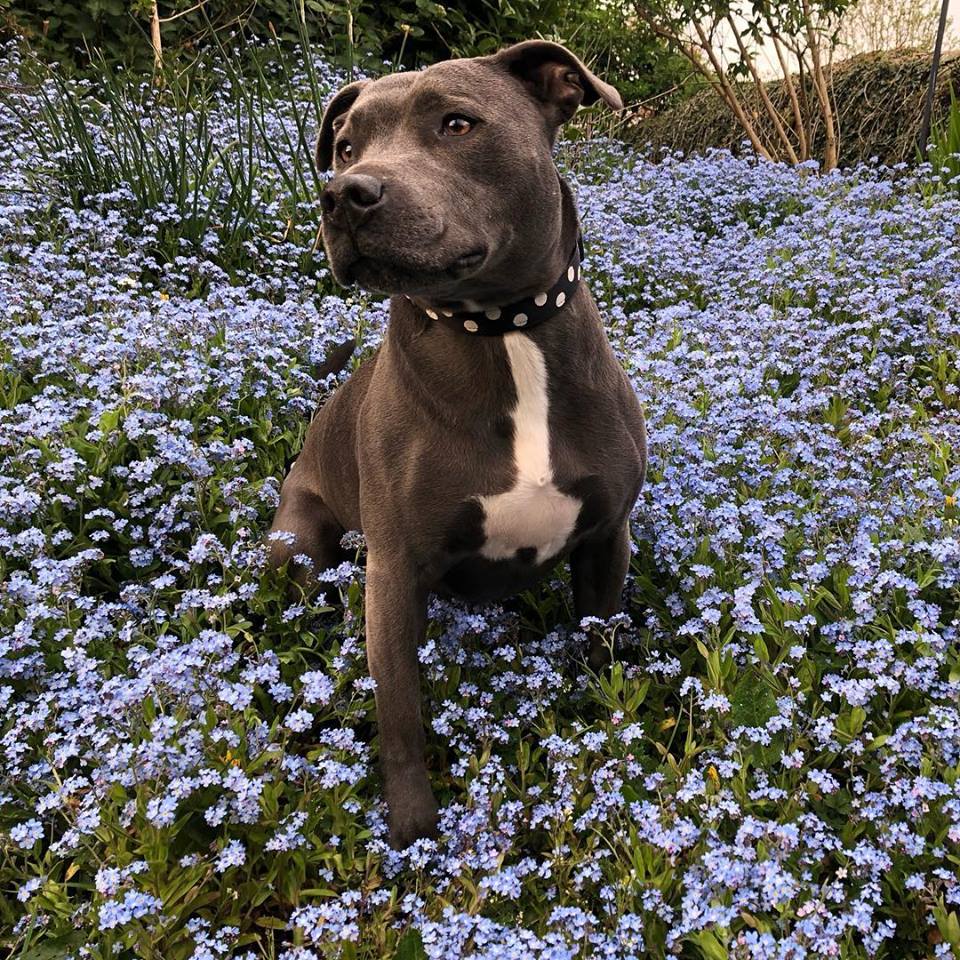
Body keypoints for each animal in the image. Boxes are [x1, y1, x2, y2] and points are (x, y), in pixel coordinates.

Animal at [270, 41, 644, 844]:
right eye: (346, 146)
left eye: (458, 124)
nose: (343, 194)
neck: (502, 330)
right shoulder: (393, 574)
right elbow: (401, 715)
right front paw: (413, 834)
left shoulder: (607, 537)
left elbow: (598, 644)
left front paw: (608, 743)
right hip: (296, 543)